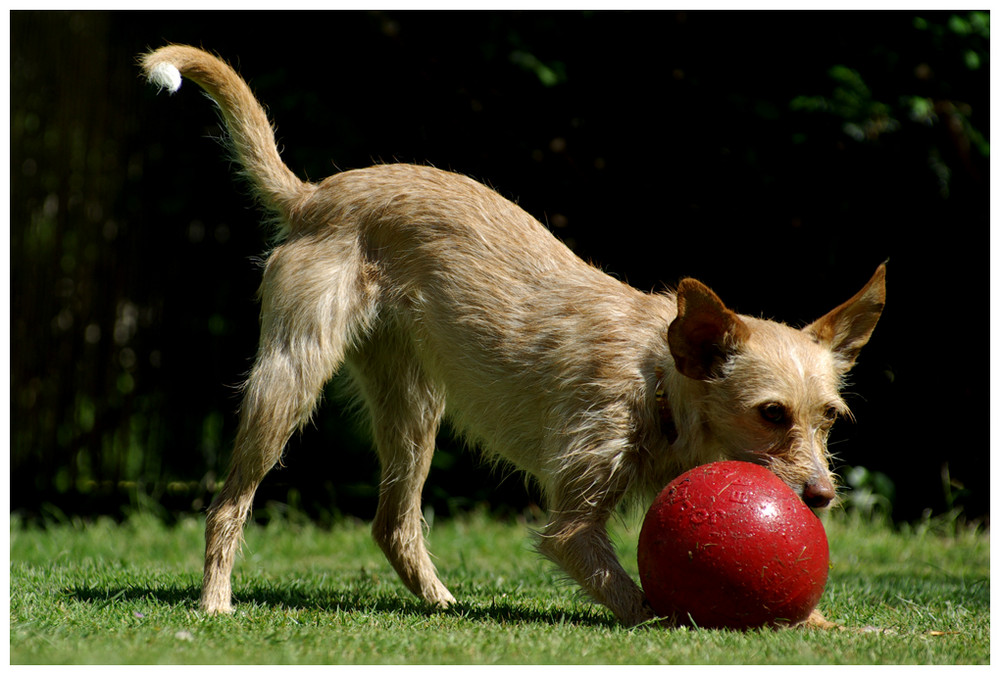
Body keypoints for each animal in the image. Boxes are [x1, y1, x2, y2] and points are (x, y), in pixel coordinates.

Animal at [139, 46, 884, 628]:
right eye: (771, 413)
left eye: (829, 417)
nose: (822, 497)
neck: (656, 377)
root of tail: (315, 193)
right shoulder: (572, 524)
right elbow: (646, 601)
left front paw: (838, 626)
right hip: (289, 379)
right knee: (227, 504)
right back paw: (214, 601)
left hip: (414, 405)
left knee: (393, 522)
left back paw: (442, 602)